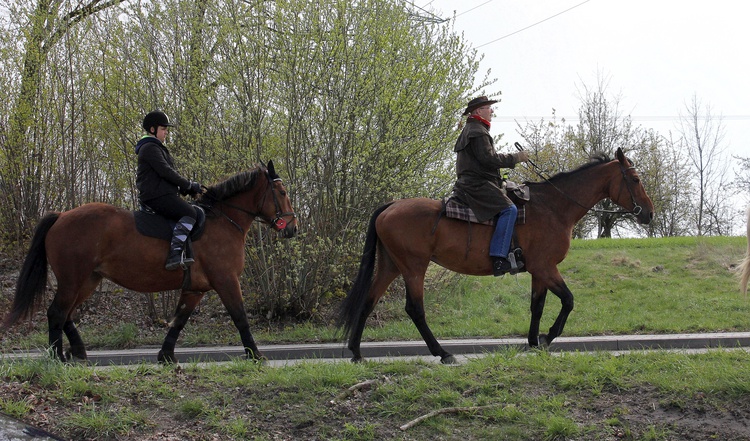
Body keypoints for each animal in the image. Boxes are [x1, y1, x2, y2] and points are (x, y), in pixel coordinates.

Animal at [2, 161, 296, 360]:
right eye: (281, 192)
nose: (292, 228)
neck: (223, 220)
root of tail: (61, 216)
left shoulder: (195, 289)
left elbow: (179, 320)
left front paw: (166, 356)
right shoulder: (226, 280)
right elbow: (240, 316)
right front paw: (255, 354)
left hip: (87, 280)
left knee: (66, 314)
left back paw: (78, 352)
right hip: (72, 279)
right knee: (57, 313)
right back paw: (57, 358)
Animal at [340, 147, 652, 360]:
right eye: (636, 179)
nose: (649, 213)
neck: (553, 207)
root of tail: (390, 206)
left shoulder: (539, 271)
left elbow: (537, 306)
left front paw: (533, 342)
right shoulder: (546, 268)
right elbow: (568, 300)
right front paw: (548, 337)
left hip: (390, 266)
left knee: (369, 300)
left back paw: (356, 351)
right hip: (414, 268)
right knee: (414, 309)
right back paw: (442, 353)